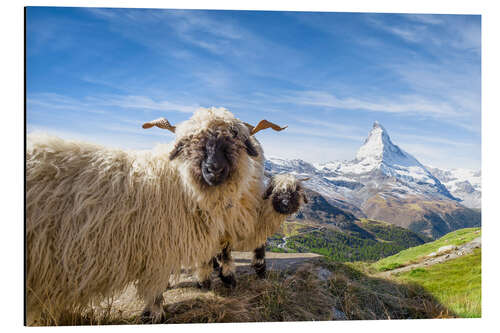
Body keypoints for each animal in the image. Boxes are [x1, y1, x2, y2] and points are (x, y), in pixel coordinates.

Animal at [25, 105, 288, 322]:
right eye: (190, 141)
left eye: (234, 137)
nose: (214, 170)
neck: (179, 182)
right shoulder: (158, 250)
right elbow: (157, 287)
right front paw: (156, 313)